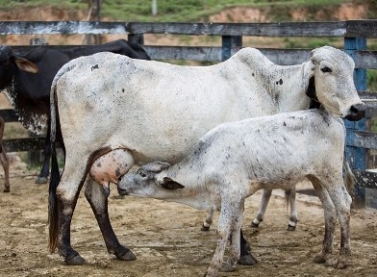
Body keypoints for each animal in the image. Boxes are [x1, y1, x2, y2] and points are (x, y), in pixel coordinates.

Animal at [118, 105, 364, 276]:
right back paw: (323, 254)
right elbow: (236, 226)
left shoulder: (230, 194)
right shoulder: (237, 197)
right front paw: (232, 261)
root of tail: (332, 117)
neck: (206, 163)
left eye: (142, 175)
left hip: (331, 173)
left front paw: (214, 267)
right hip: (316, 177)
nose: (120, 181)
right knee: (329, 209)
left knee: (343, 205)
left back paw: (343, 258)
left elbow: (222, 230)